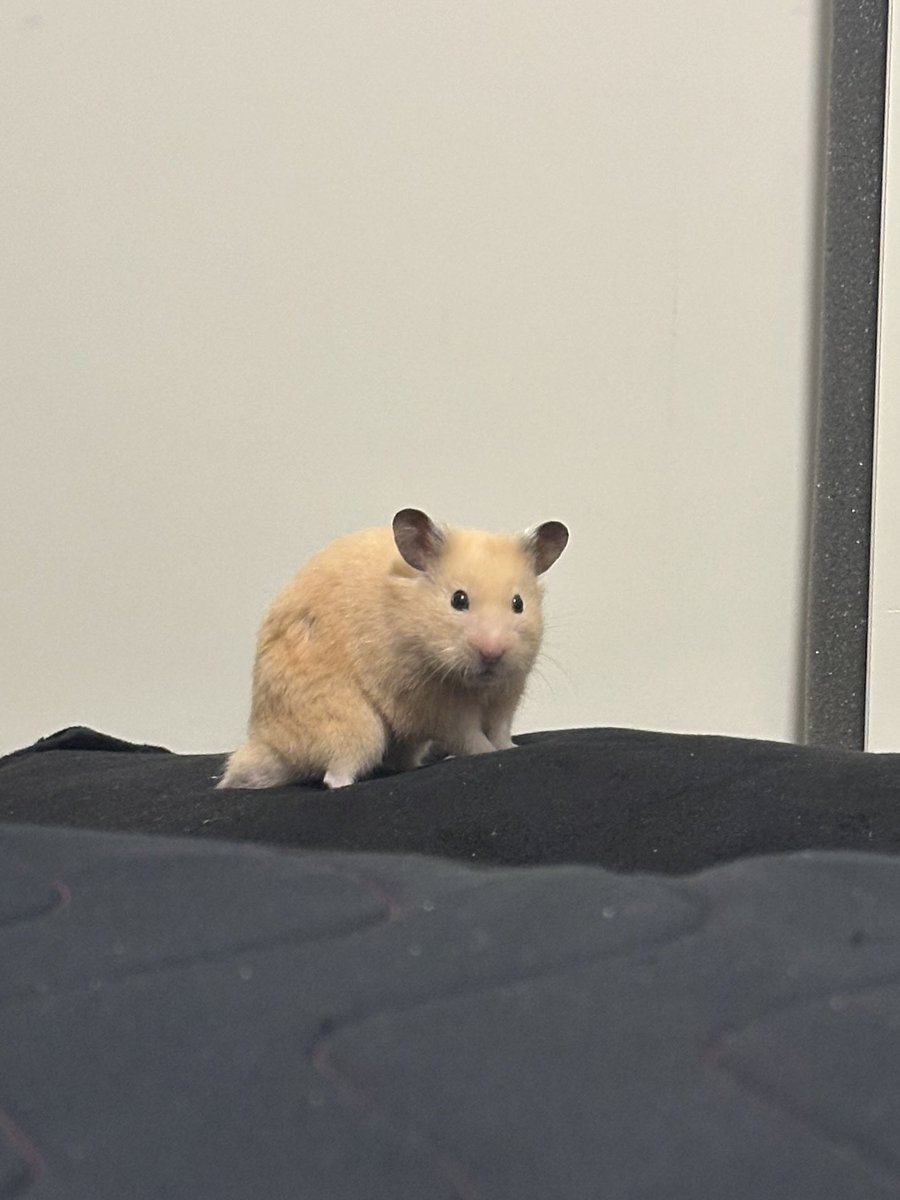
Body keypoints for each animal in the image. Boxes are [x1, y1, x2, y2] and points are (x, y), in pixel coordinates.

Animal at [218, 508, 568, 790]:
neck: (476, 685)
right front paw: (488, 753)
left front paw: (510, 749)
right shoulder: (439, 708)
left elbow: (499, 730)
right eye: (458, 600)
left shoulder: (507, 693)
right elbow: (472, 739)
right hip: (353, 724)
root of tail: (266, 741)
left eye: (518, 603)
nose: (492, 653)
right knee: (336, 773)